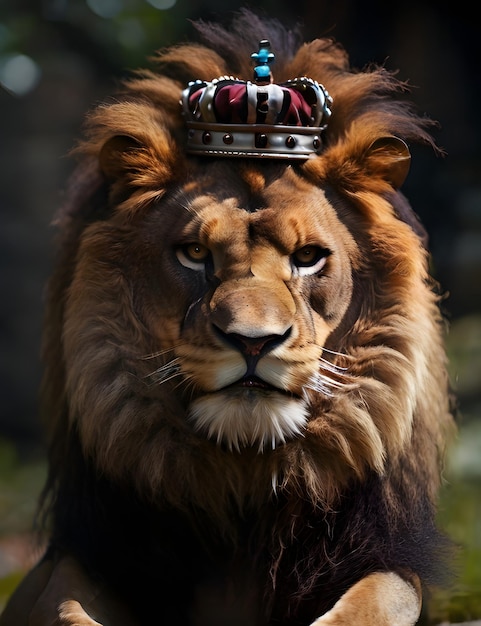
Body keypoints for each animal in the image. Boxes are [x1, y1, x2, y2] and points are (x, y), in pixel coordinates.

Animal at [0, 9, 454, 624]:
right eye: (195, 253)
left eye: (308, 257)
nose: (253, 342)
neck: (243, 480)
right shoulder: (85, 559)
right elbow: (66, 608)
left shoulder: (385, 562)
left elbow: (373, 604)